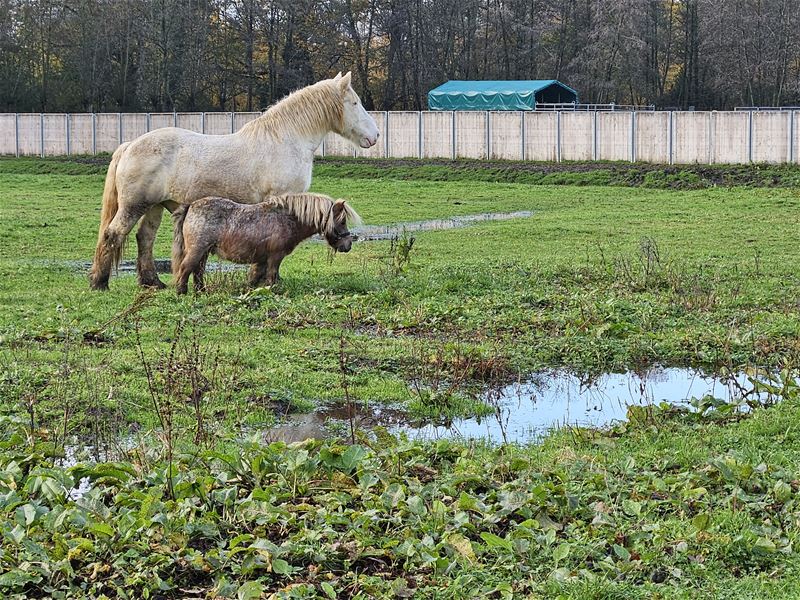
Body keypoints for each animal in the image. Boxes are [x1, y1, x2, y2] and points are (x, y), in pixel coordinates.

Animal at [175, 193, 362, 294]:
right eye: (342, 221)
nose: (348, 245)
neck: (286, 218)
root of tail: (191, 206)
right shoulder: (275, 257)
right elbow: (272, 277)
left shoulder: (262, 259)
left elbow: (255, 278)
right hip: (197, 251)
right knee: (186, 269)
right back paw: (181, 292)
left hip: (204, 253)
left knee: (198, 272)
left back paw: (200, 291)